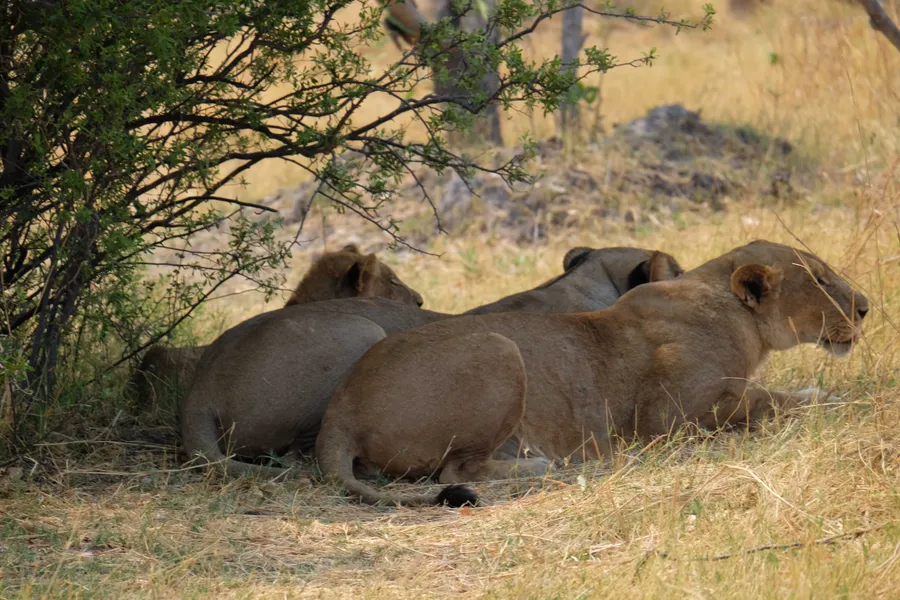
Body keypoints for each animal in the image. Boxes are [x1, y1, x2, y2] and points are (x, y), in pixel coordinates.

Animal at [315, 240, 869, 506]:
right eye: (820, 280)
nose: (866, 307)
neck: (738, 316)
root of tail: (337, 410)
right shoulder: (667, 418)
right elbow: (770, 399)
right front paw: (829, 399)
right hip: (499, 348)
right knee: (457, 472)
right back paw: (545, 467)